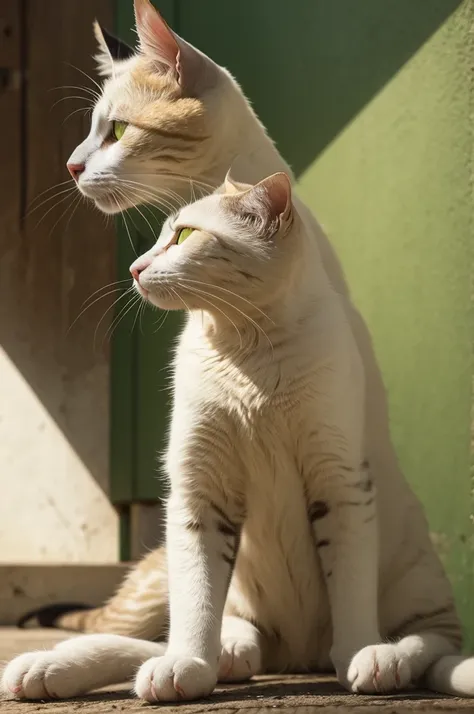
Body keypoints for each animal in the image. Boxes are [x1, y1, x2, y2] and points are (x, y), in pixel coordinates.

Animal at [2, 0, 470, 700]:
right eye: (90, 132)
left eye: (117, 130)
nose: (71, 167)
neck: (242, 344)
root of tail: (297, 653)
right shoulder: (196, 479)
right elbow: (195, 602)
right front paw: (186, 666)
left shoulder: (340, 472)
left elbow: (351, 587)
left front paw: (364, 653)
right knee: (175, 631)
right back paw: (61, 664)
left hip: (412, 565)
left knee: (435, 639)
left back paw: (392, 658)